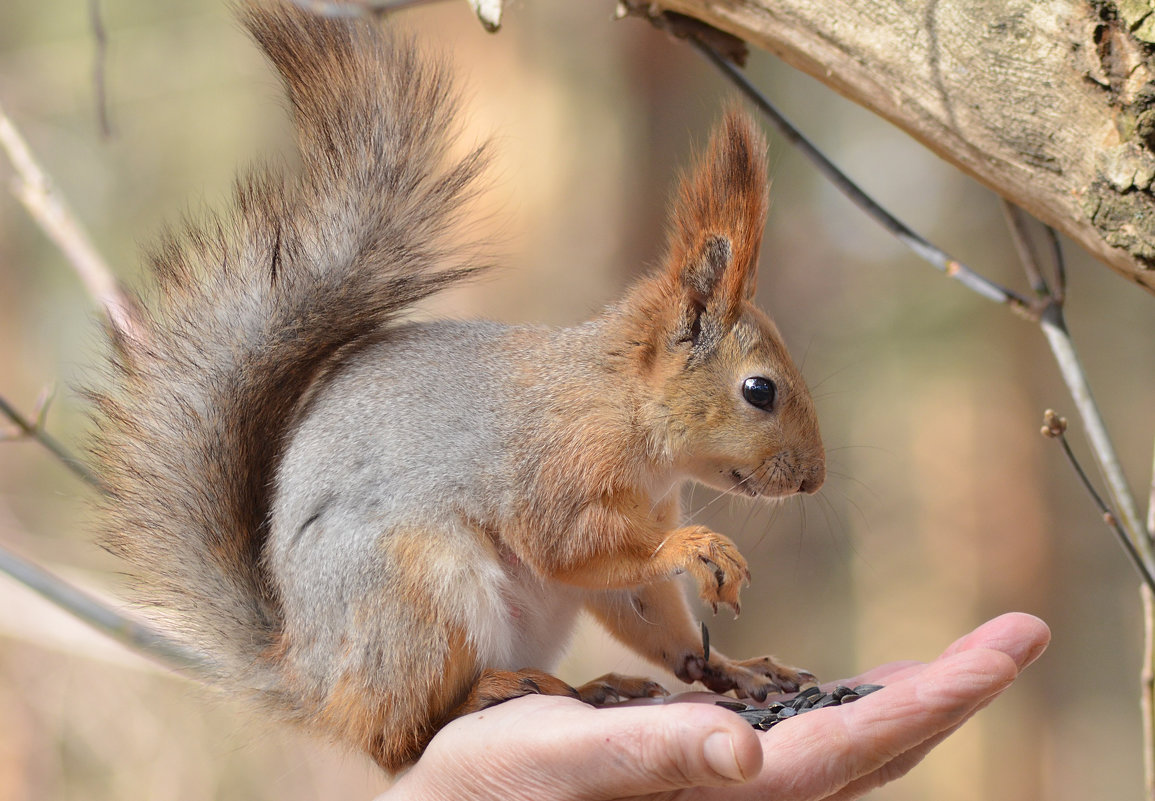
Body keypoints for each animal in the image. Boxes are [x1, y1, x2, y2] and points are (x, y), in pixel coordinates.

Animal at [85, 1, 826, 780]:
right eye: (759, 390)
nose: (813, 479)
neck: (625, 412)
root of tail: (308, 677)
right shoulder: (552, 468)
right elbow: (567, 544)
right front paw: (698, 546)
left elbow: (641, 600)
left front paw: (732, 666)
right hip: (417, 592)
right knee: (399, 739)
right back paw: (496, 690)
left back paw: (594, 685)